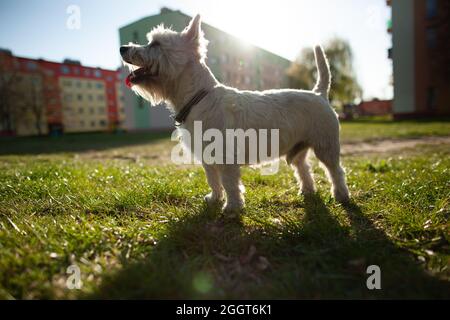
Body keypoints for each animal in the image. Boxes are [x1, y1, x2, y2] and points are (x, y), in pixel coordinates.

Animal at [120, 15, 352, 215]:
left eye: (156, 44)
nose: (123, 48)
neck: (198, 97)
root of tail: (319, 93)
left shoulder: (225, 158)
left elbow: (229, 183)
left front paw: (232, 207)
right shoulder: (207, 157)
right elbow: (213, 180)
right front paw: (214, 199)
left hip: (326, 145)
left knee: (336, 170)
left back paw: (341, 195)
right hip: (298, 149)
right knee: (304, 168)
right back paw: (307, 191)